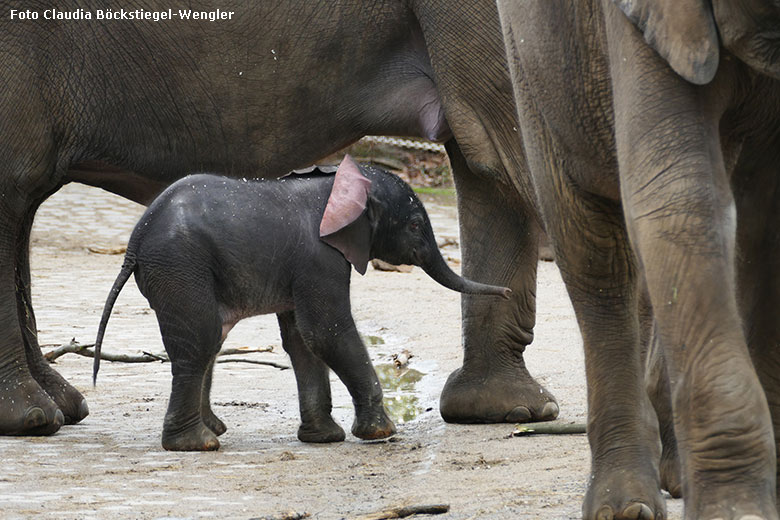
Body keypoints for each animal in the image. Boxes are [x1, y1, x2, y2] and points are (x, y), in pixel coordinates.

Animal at [94, 155, 508, 450]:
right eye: (415, 225)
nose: (506, 292)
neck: (341, 183)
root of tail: (135, 242)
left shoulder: (302, 266)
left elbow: (302, 340)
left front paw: (324, 438)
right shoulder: (319, 258)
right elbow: (325, 332)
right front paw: (381, 433)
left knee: (210, 340)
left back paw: (212, 431)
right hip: (179, 265)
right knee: (201, 340)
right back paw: (197, 445)